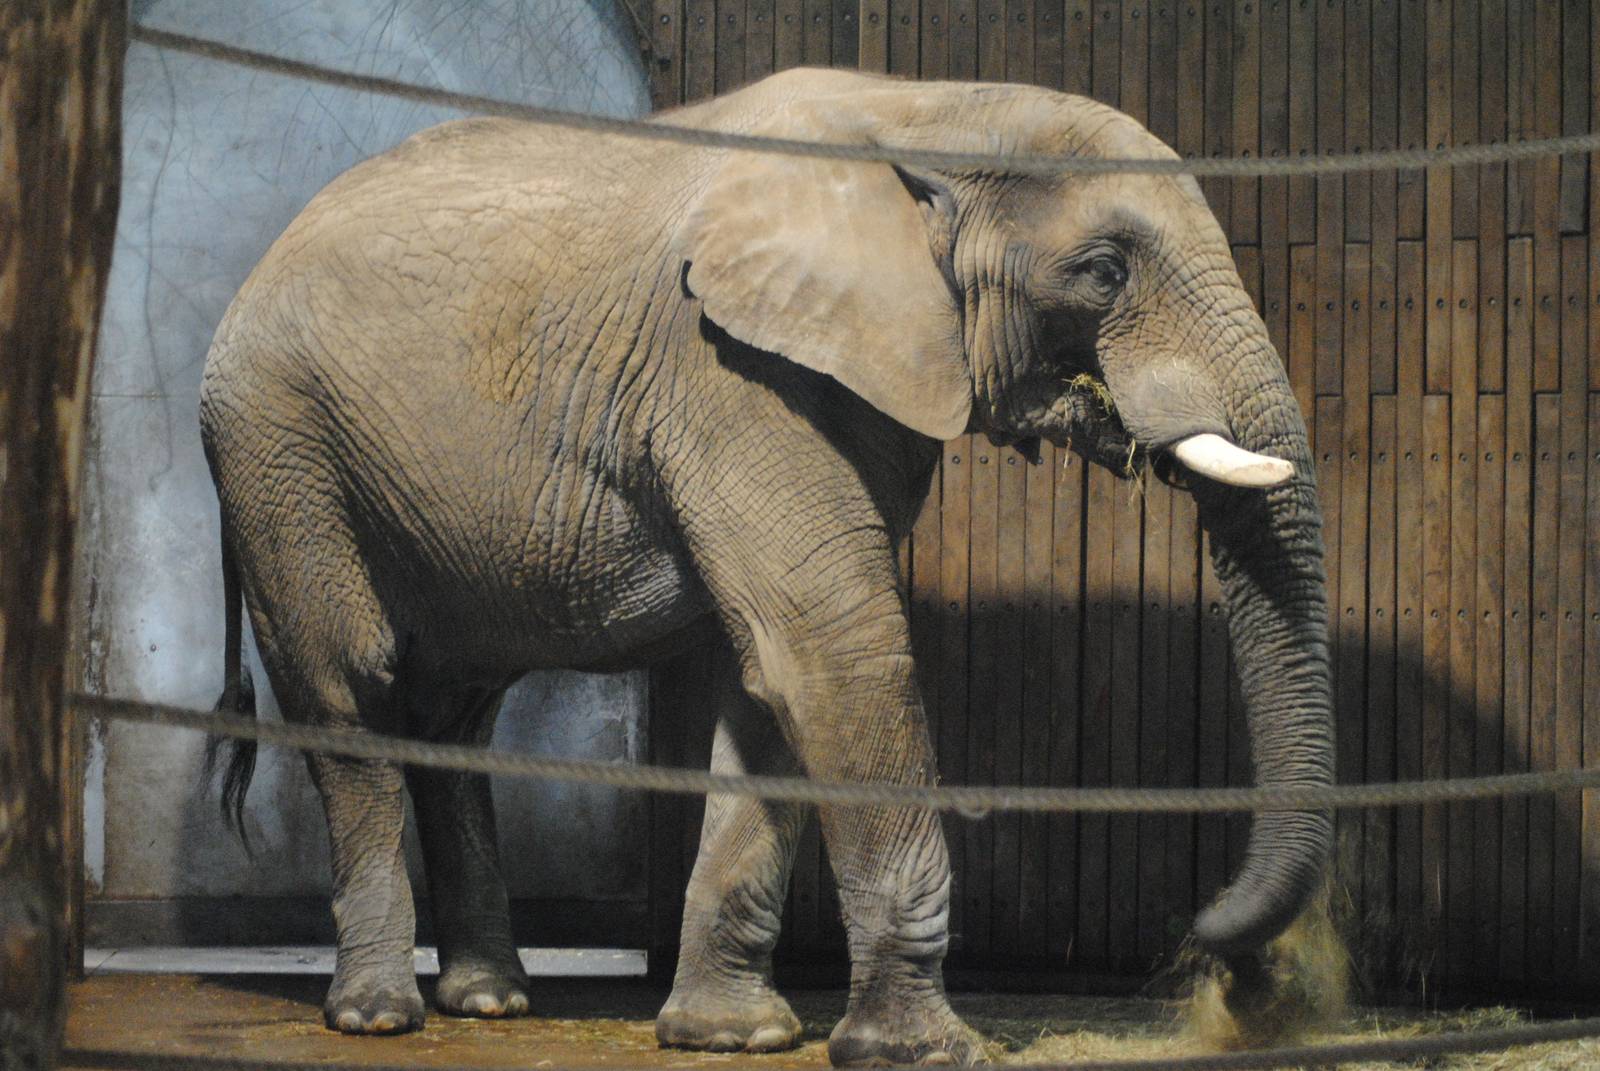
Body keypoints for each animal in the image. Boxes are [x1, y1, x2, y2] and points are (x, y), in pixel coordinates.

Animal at [200, 67, 1334, 1066]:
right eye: (1104, 270)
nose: (1217, 955)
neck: (928, 107)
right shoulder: (729, 373)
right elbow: (834, 651)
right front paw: (921, 1052)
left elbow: (767, 683)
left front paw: (732, 1038)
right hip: (279, 446)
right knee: (348, 686)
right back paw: (380, 1015)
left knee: (454, 709)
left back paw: (490, 1001)